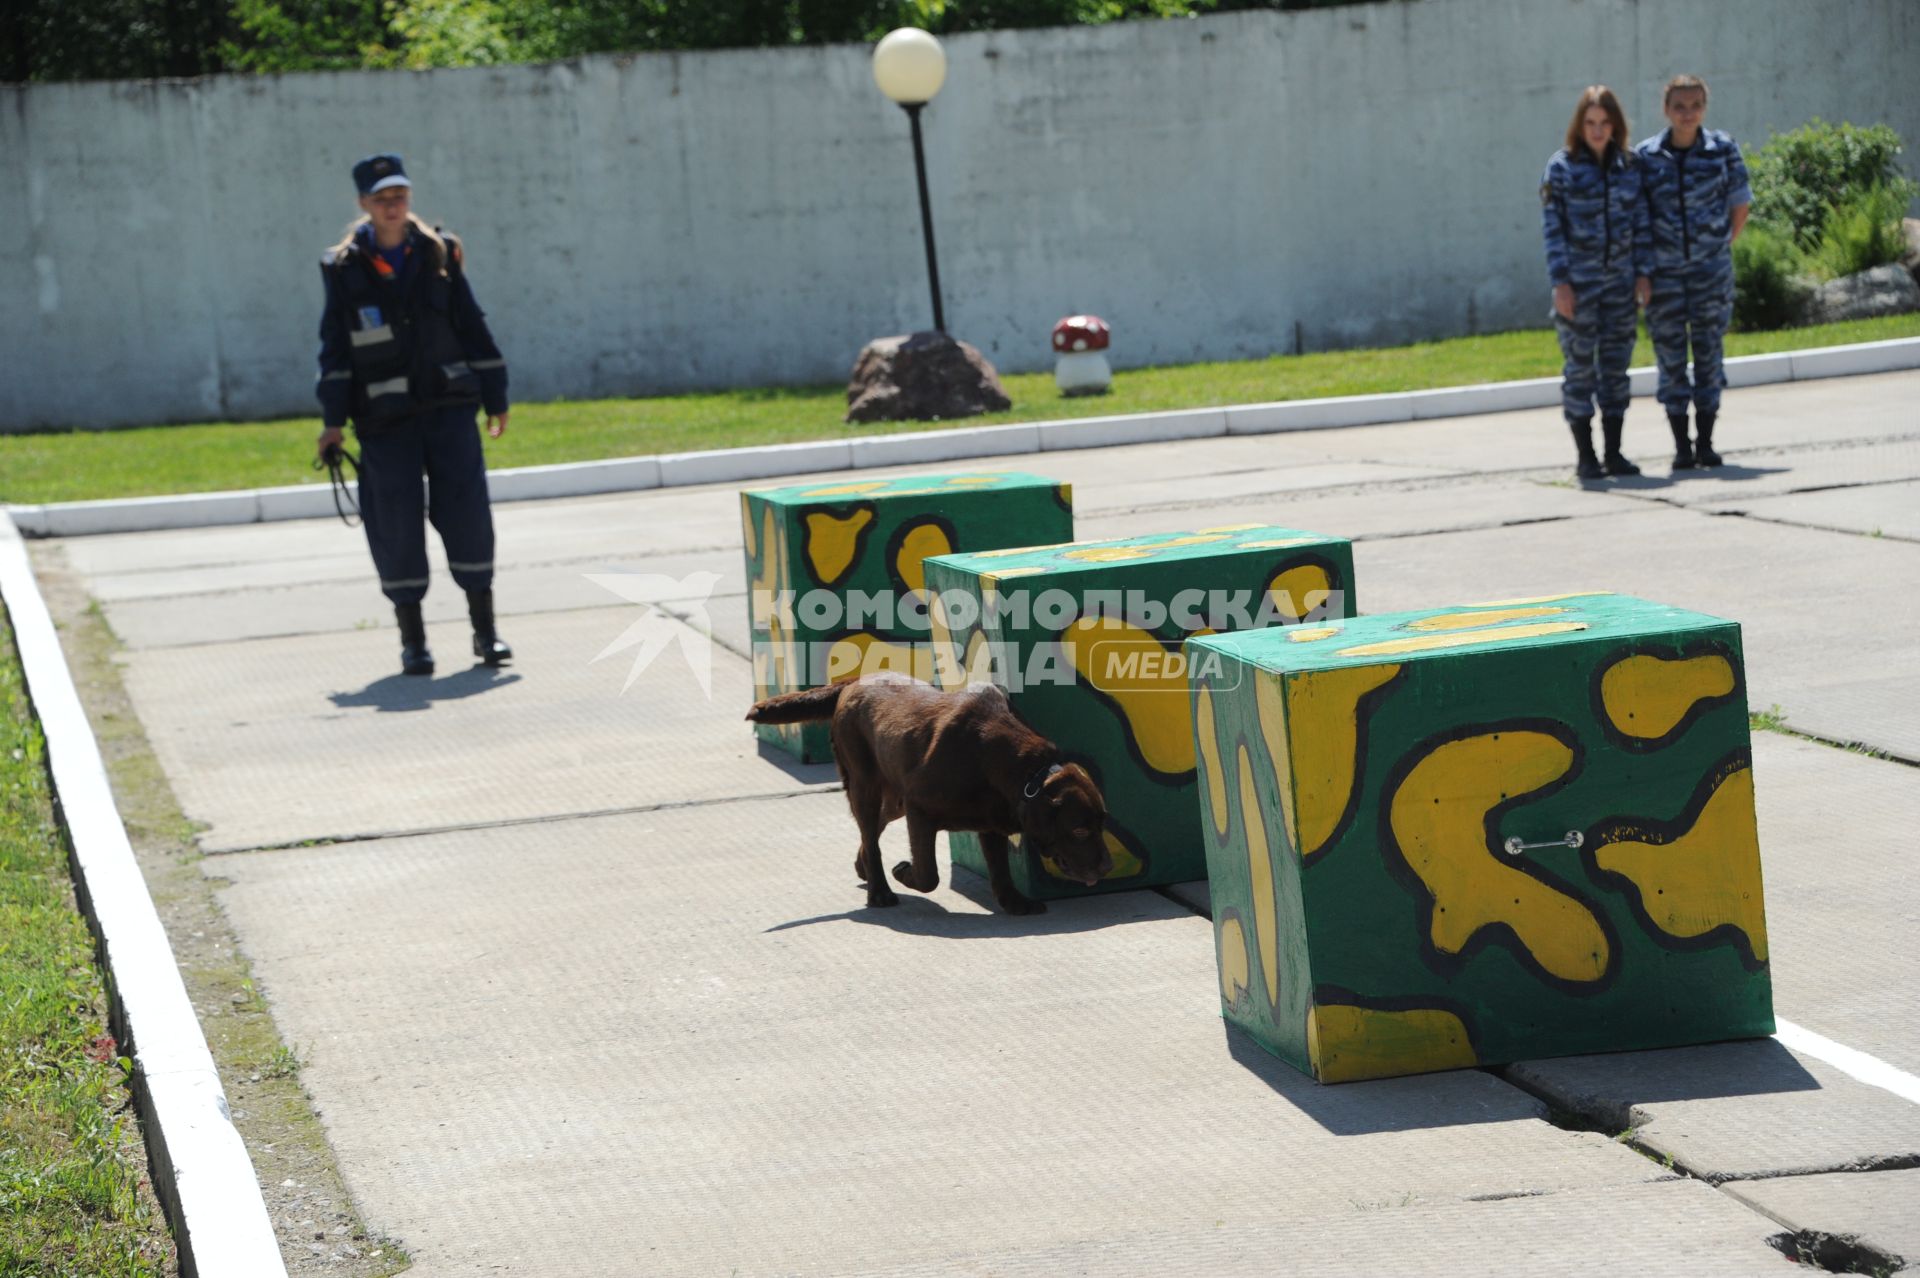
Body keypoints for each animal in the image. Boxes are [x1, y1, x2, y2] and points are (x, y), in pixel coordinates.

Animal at [744, 671, 1113, 909]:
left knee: (872, 831)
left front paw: (1013, 902)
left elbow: (999, 868)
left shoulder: (990, 820)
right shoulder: (920, 810)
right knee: (870, 833)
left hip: (893, 796)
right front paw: (905, 873)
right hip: (866, 784)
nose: (1108, 868)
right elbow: (928, 876)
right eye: (1079, 830)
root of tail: (853, 682)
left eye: (1101, 825)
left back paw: (864, 868)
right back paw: (880, 892)